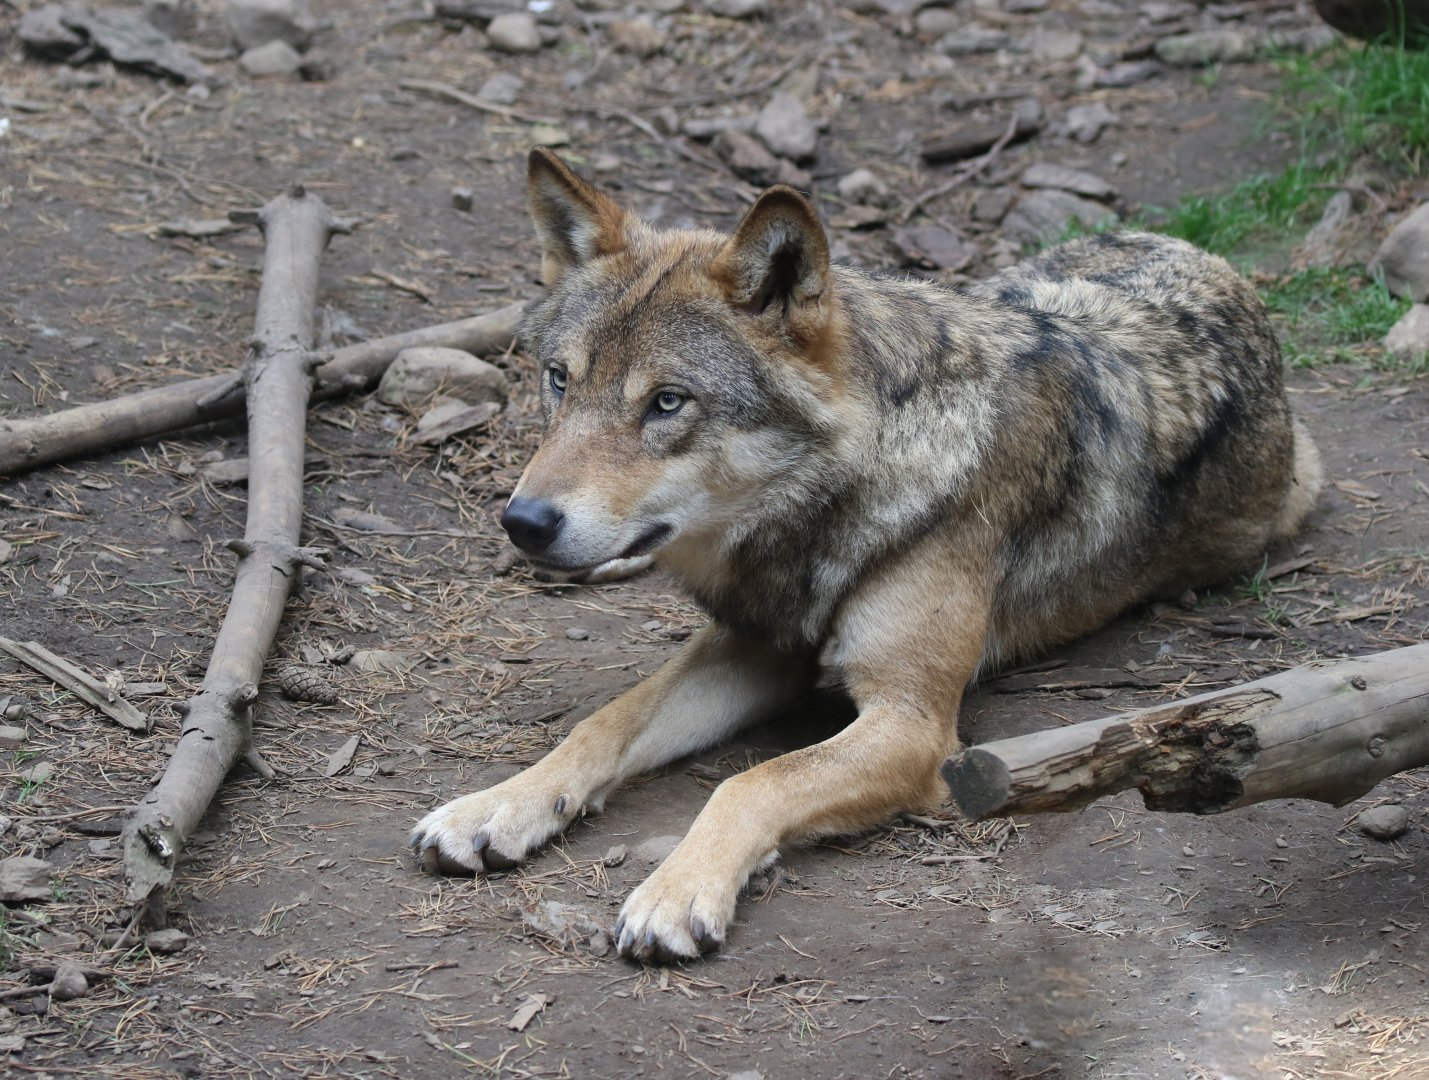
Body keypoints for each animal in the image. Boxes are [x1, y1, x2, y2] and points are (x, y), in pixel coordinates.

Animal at [411, 148, 1322, 963]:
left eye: (667, 403)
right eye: (560, 380)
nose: (523, 521)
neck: (827, 510)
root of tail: (1200, 252)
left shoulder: (913, 725)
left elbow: (754, 780)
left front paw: (676, 891)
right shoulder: (753, 646)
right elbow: (603, 723)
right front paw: (495, 808)